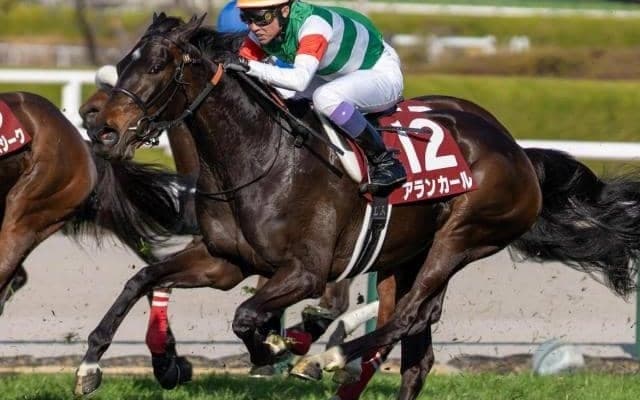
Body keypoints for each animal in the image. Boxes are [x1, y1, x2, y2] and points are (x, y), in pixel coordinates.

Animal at [74, 15, 640, 400]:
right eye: (121, 64)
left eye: (158, 66)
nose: (101, 128)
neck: (259, 157)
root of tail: (516, 150)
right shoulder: (225, 261)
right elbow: (141, 280)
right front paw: (92, 365)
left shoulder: (305, 270)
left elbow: (246, 316)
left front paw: (280, 347)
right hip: (404, 256)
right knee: (417, 348)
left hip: (463, 236)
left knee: (411, 314)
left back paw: (331, 354)